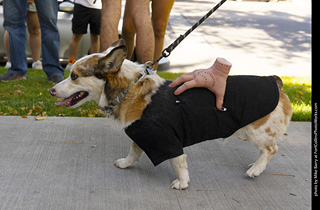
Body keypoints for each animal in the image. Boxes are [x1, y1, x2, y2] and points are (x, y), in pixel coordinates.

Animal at [50, 38, 292, 189]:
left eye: (74, 76)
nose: (51, 91)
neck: (128, 90)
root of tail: (276, 82)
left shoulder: (166, 141)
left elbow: (178, 163)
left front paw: (182, 183)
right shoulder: (141, 135)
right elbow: (133, 153)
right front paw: (126, 164)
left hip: (257, 132)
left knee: (271, 149)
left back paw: (256, 170)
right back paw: (256, 165)